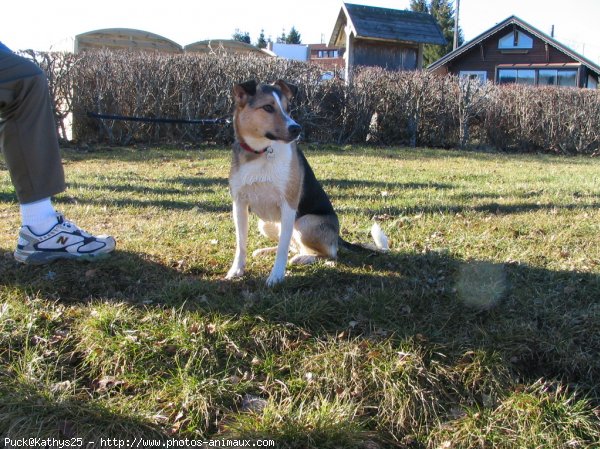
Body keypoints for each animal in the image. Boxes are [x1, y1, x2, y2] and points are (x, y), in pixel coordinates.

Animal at [226, 79, 390, 286]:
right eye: (268, 107)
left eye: (288, 108)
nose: (297, 129)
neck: (261, 152)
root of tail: (338, 236)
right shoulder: (239, 204)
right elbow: (241, 243)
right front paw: (236, 270)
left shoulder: (288, 206)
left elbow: (283, 248)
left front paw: (276, 276)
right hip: (265, 224)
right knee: (294, 246)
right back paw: (267, 251)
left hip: (304, 223)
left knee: (329, 253)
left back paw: (304, 258)